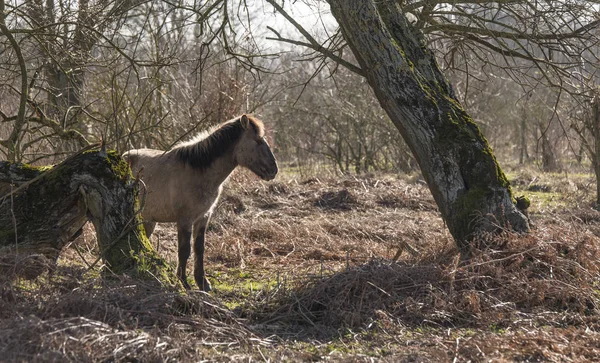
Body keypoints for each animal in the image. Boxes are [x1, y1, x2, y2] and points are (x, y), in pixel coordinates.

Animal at [125, 115, 280, 292]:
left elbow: (199, 249)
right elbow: (184, 250)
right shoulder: (185, 220)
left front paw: (203, 283)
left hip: (148, 220)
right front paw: (183, 282)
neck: (198, 171)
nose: (273, 170)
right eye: (258, 141)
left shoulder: (203, 217)